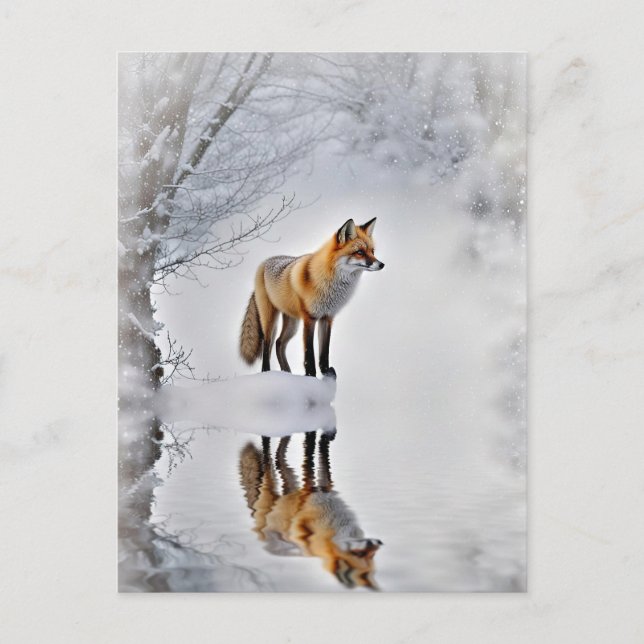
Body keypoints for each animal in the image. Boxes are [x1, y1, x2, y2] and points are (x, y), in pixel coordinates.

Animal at [240, 218, 384, 377]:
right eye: (359, 252)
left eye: (372, 251)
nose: (381, 264)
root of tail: (264, 263)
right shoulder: (309, 318)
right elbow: (309, 354)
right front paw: (310, 376)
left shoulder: (327, 317)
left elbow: (324, 353)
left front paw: (326, 373)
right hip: (271, 319)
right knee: (267, 346)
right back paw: (267, 372)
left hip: (292, 323)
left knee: (279, 343)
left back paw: (287, 372)